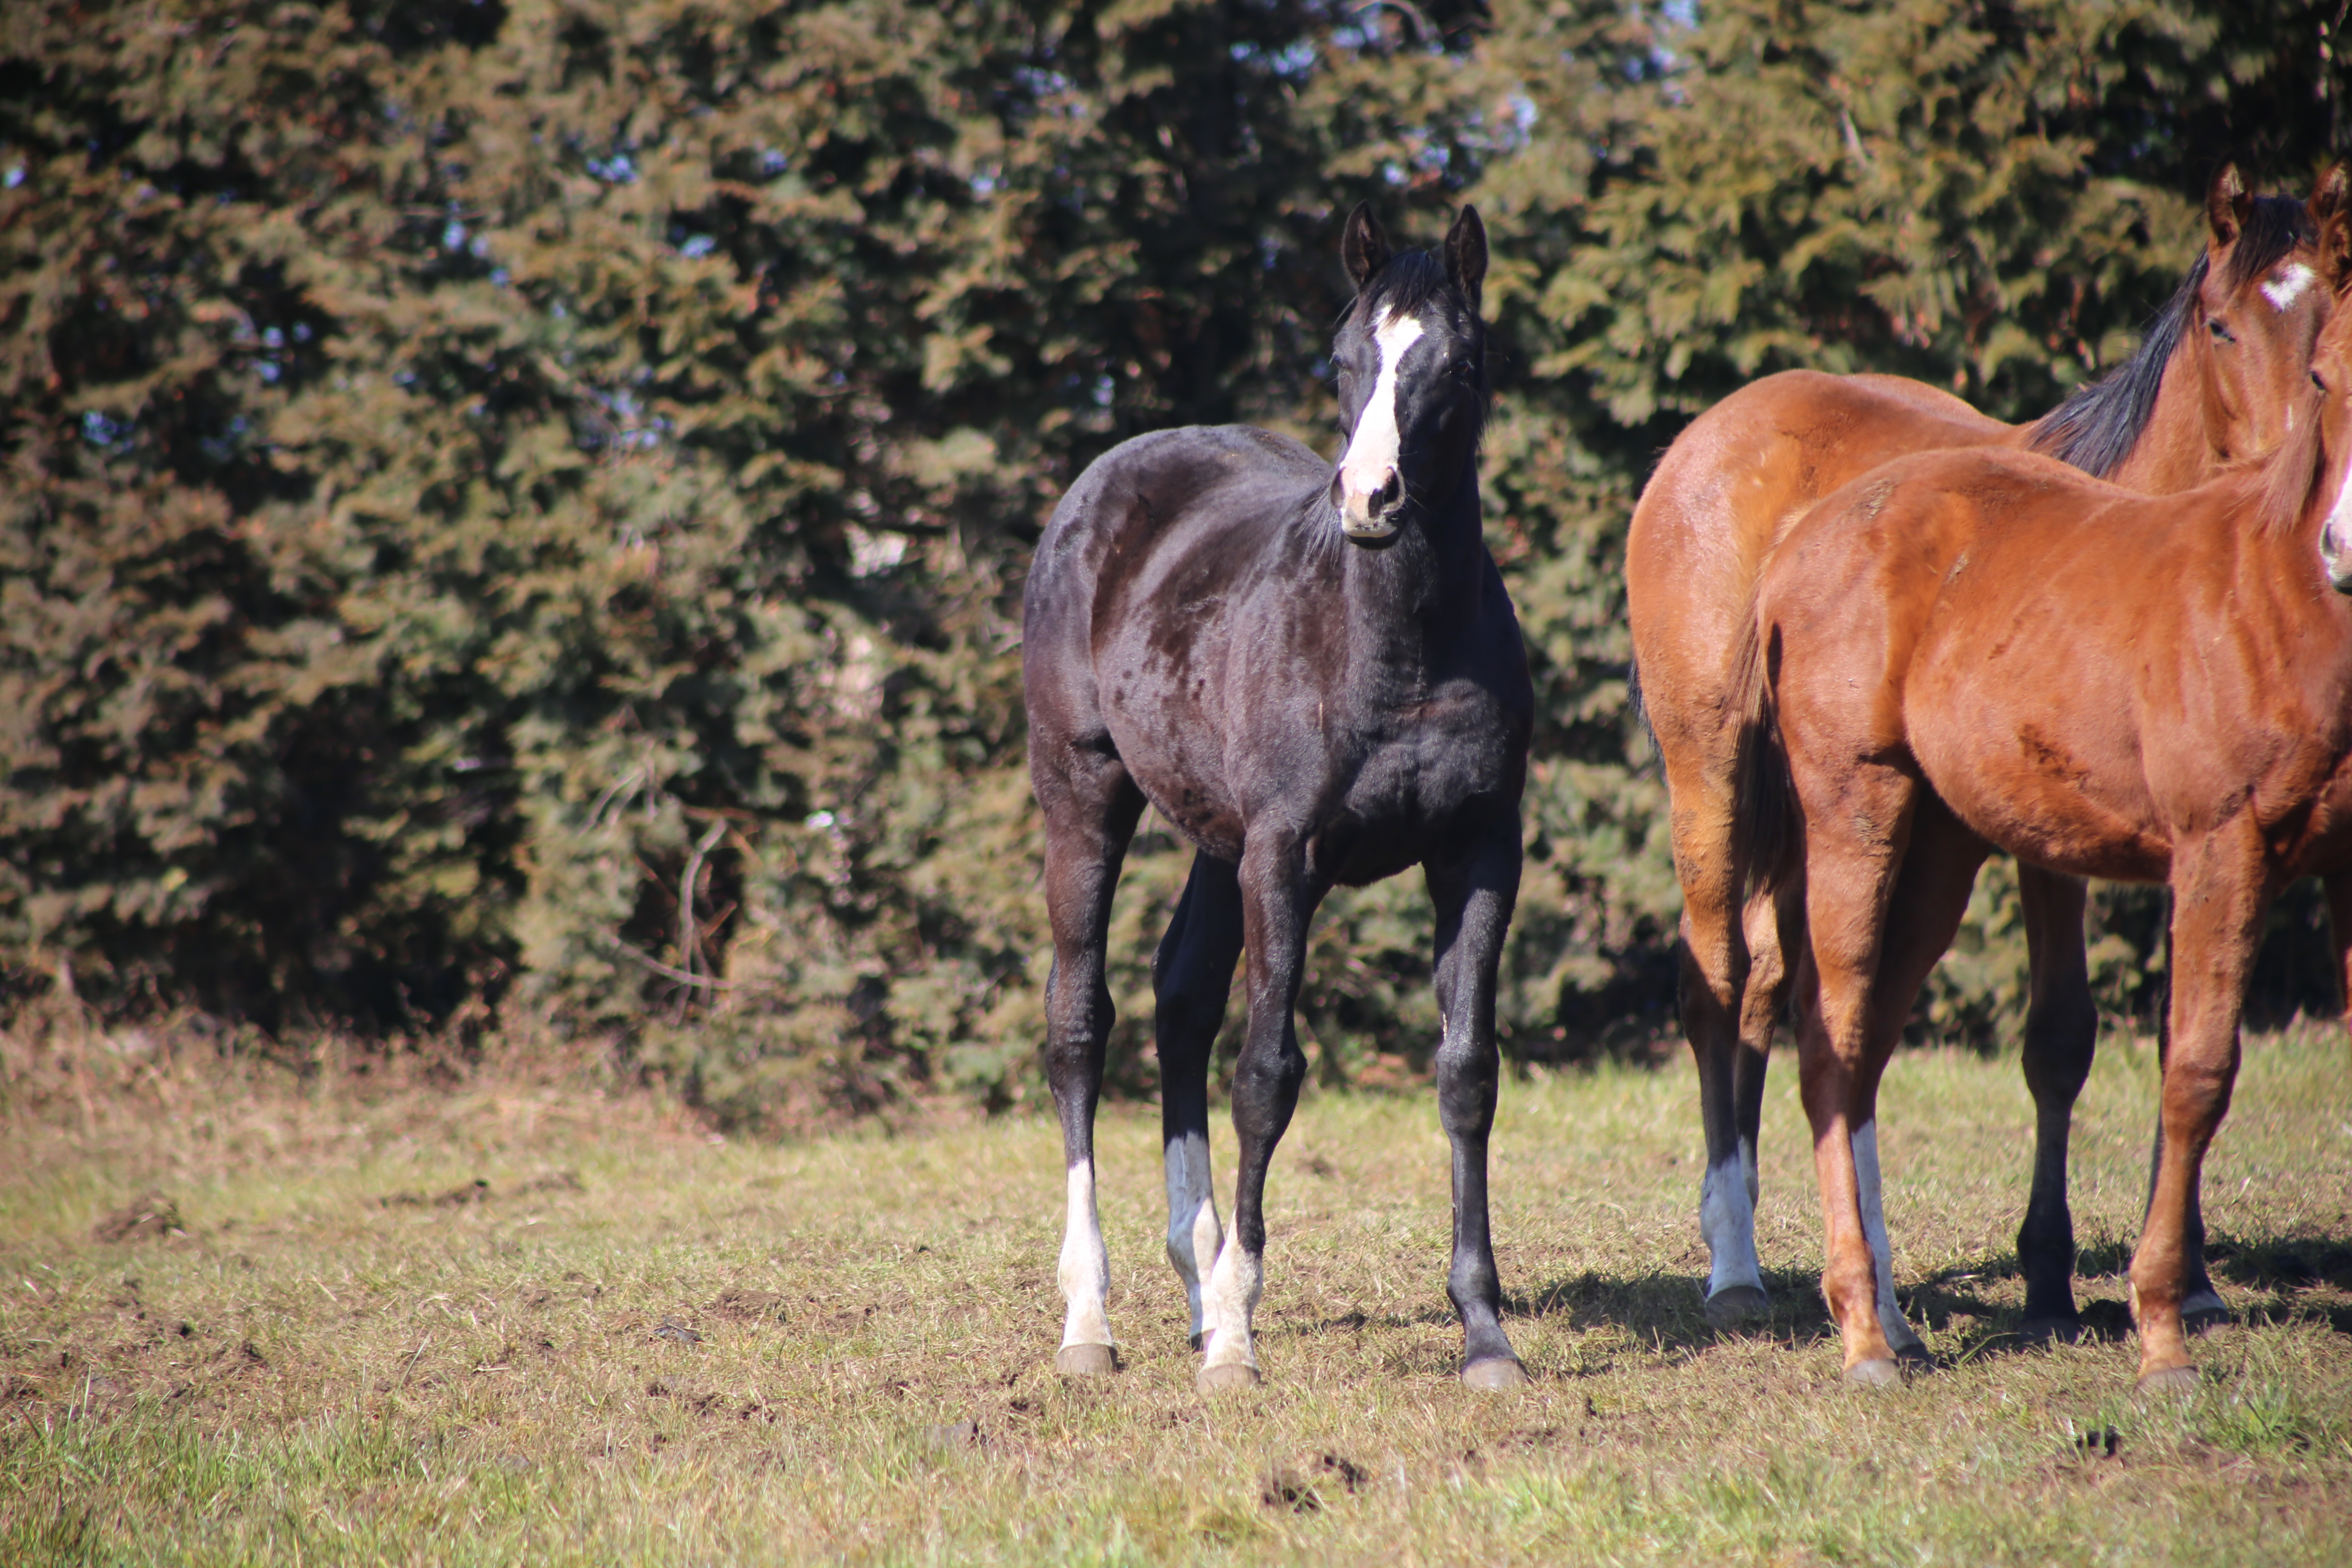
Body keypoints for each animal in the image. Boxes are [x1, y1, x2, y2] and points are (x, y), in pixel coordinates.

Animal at [1020, 202, 1533, 1392]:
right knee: (1079, 1027)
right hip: (1085, 797)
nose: (1369, 500)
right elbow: (1266, 1072)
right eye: (1343, 359)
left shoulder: (1483, 851)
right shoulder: (1284, 854)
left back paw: (1192, 1272)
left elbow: (1466, 1072)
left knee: (1179, 997)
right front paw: (1238, 1333)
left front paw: (1484, 1332)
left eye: (1460, 362)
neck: (1397, 647)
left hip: (1217, 843)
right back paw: (1090, 1319)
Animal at [1627, 169, 2342, 1354]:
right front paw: (2049, 1273)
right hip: (1713, 771)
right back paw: (1735, 1262)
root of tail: (1709, 435)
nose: (2292, 478)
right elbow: (2060, 1039)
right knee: (1718, 983)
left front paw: (2188, 1282)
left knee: (1798, 993)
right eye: (2221, 323)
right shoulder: (2055, 847)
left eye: (2331, 316)